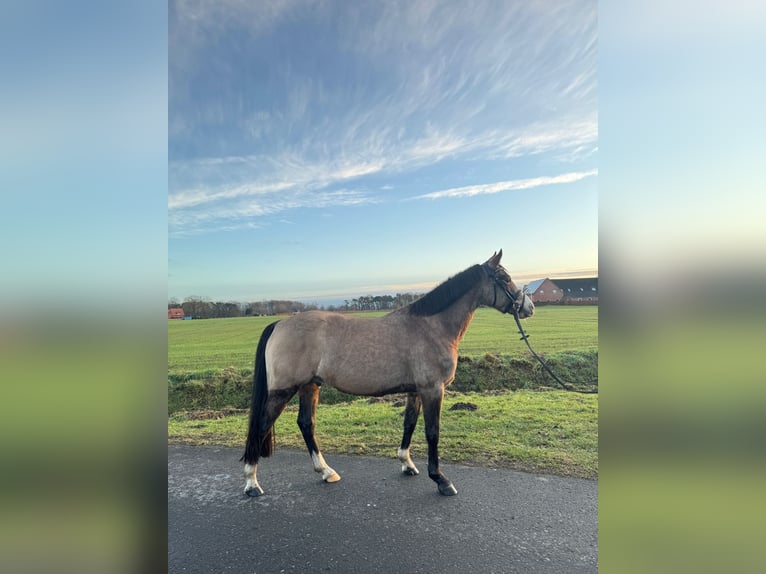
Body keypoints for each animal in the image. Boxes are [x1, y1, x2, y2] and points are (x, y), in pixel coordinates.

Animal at [241, 250, 535, 497]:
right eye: (504, 278)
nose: (528, 307)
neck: (431, 327)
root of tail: (279, 323)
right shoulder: (432, 389)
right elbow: (432, 432)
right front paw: (440, 479)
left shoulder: (415, 391)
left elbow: (409, 424)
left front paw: (407, 464)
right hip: (283, 390)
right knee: (262, 425)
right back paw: (252, 482)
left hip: (310, 385)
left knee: (306, 423)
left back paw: (326, 471)